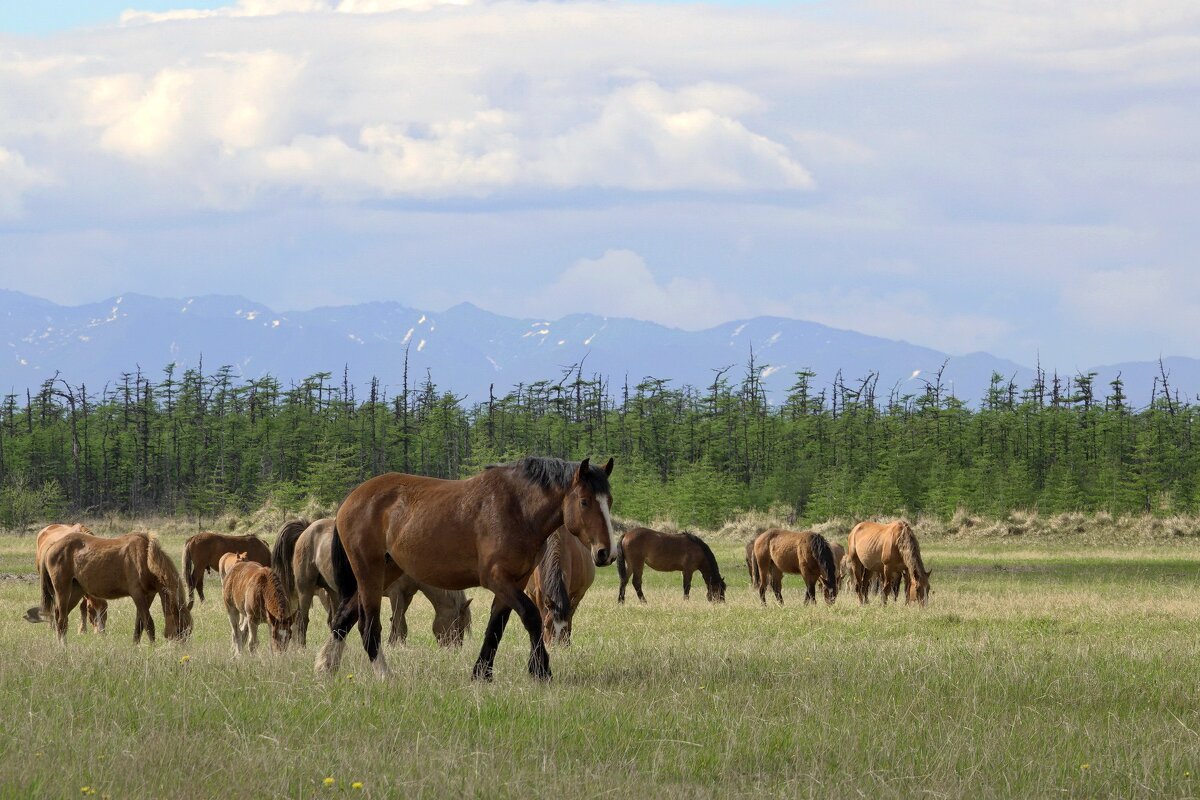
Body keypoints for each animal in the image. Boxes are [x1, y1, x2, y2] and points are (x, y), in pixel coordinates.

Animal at [29, 532, 192, 642]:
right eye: (179, 629)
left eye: (189, 631)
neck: (146, 558)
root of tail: (51, 547)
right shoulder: (137, 594)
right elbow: (148, 623)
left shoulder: (148, 595)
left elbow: (139, 625)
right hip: (62, 589)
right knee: (62, 620)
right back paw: (63, 647)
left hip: (76, 591)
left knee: (58, 617)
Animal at [290, 520, 472, 652]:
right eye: (458, 624)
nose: (455, 649)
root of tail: (307, 530)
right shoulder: (396, 594)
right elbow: (399, 622)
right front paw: (399, 647)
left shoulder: (407, 595)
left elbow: (397, 621)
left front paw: (393, 644)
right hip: (305, 589)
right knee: (302, 619)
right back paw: (301, 647)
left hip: (332, 591)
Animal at [316, 455, 614, 681]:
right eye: (585, 501)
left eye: (608, 501)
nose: (605, 553)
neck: (516, 509)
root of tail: (353, 497)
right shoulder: (498, 580)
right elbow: (531, 617)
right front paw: (541, 671)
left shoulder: (514, 583)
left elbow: (496, 627)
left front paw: (482, 674)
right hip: (369, 572)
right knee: (368, 626)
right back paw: (384, 675)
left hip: (385, 571)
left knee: (343, 618)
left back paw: (326, 667)